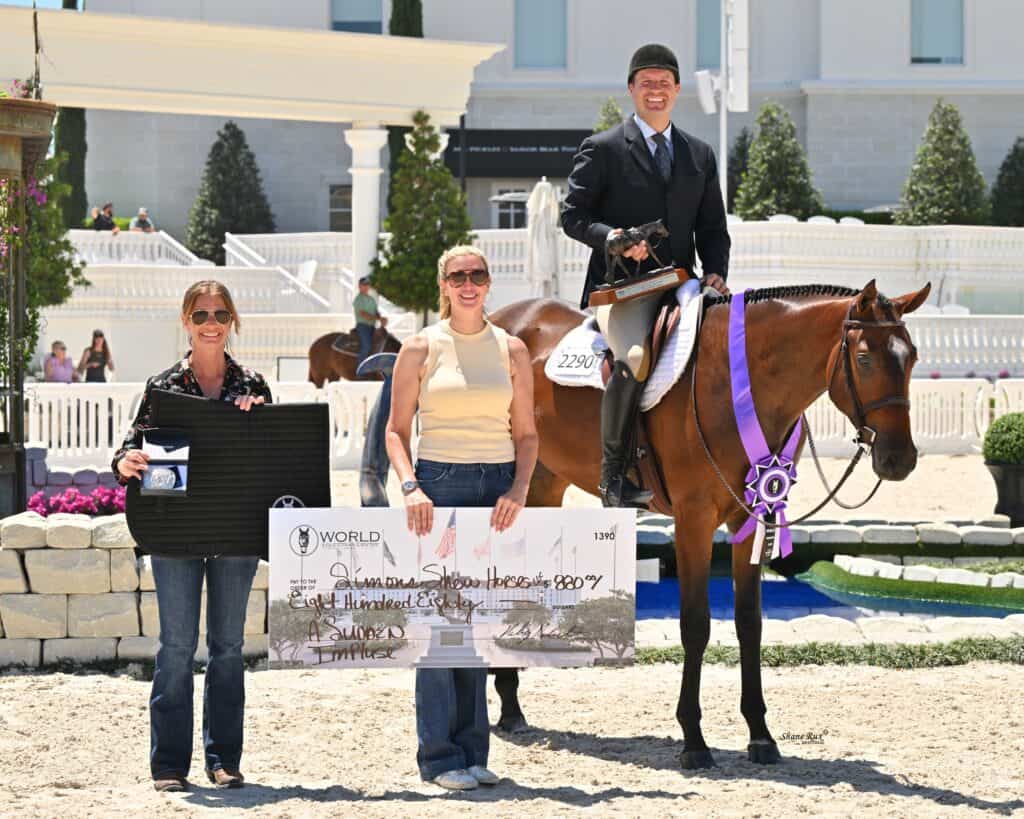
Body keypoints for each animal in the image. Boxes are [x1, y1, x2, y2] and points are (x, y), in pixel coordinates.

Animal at [486, 279, 931, 766]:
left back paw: (510, 704)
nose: (899, 459)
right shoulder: (694, 518)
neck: (743, 385)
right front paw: (694, 740)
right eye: (865, 359)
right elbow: (696, 624)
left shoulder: (756, 515)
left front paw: (760, 735)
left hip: (543, 484)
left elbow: (749, 622)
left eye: (911, 357)